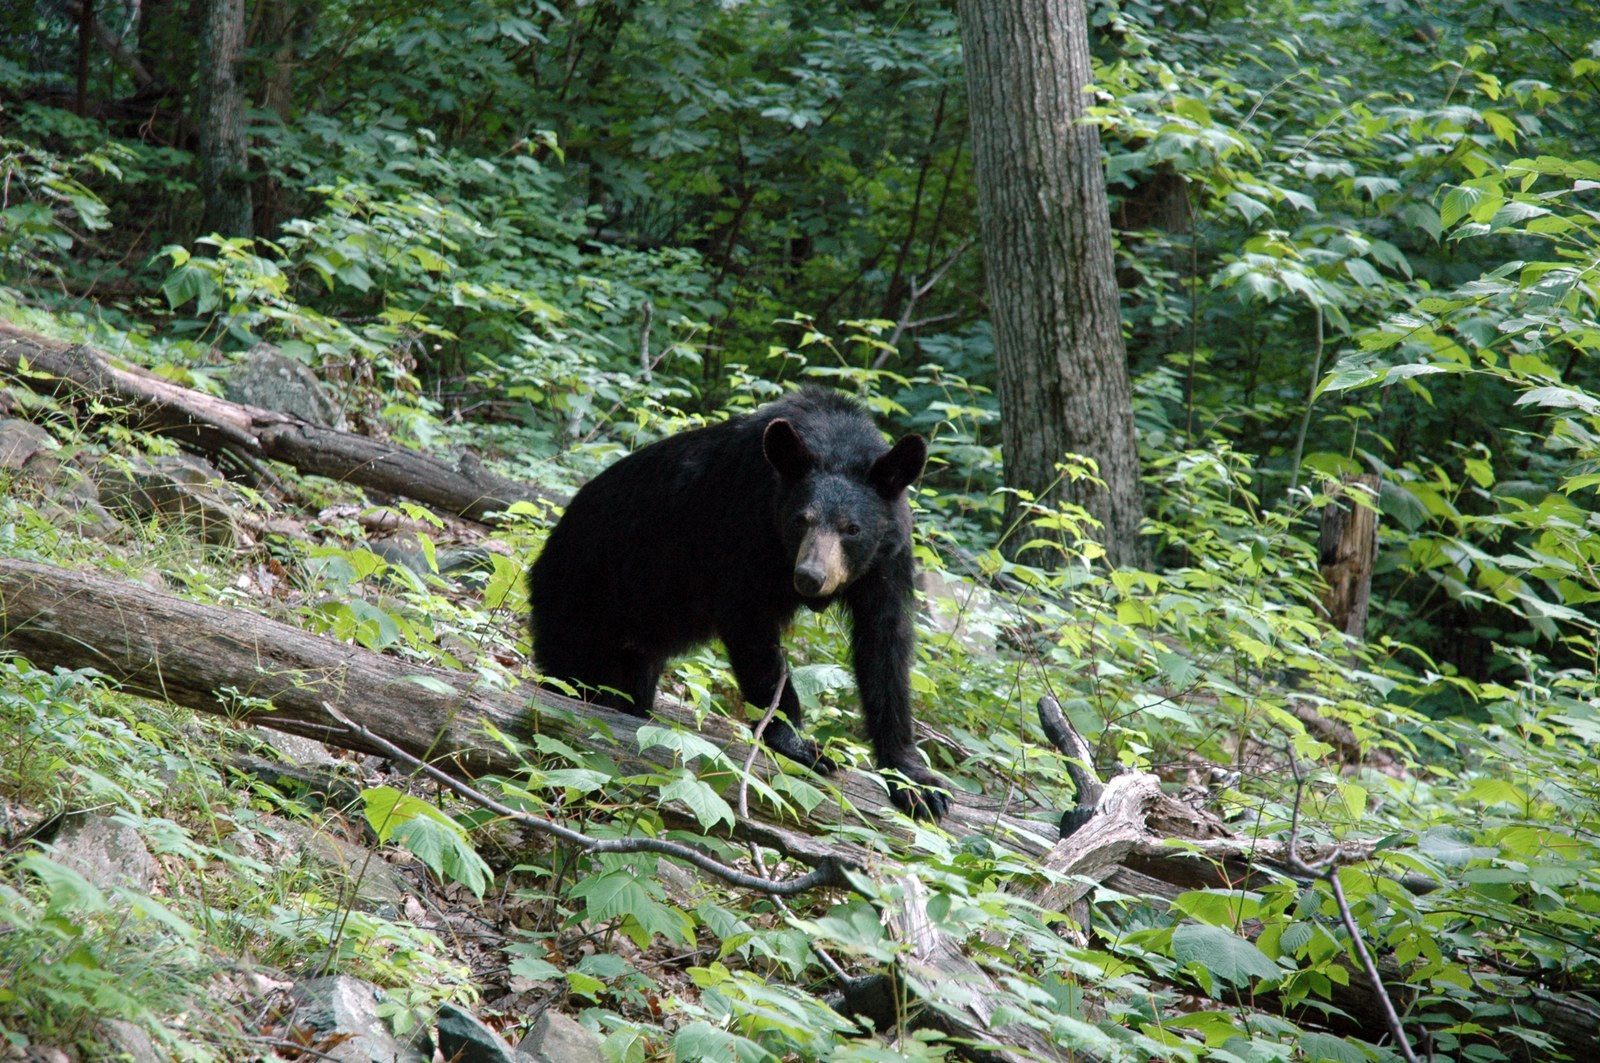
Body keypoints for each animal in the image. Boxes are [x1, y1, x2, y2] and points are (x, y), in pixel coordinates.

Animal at [527, 386, 951, 820]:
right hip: (580, 599)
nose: (810, 577)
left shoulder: (887, 559)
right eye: (800, 520)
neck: (835, 441)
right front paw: (800, 743)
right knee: (572, 669)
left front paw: (916, 782)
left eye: (852, 529)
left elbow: (885, 646)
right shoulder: (745, 527)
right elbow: (750, 625)